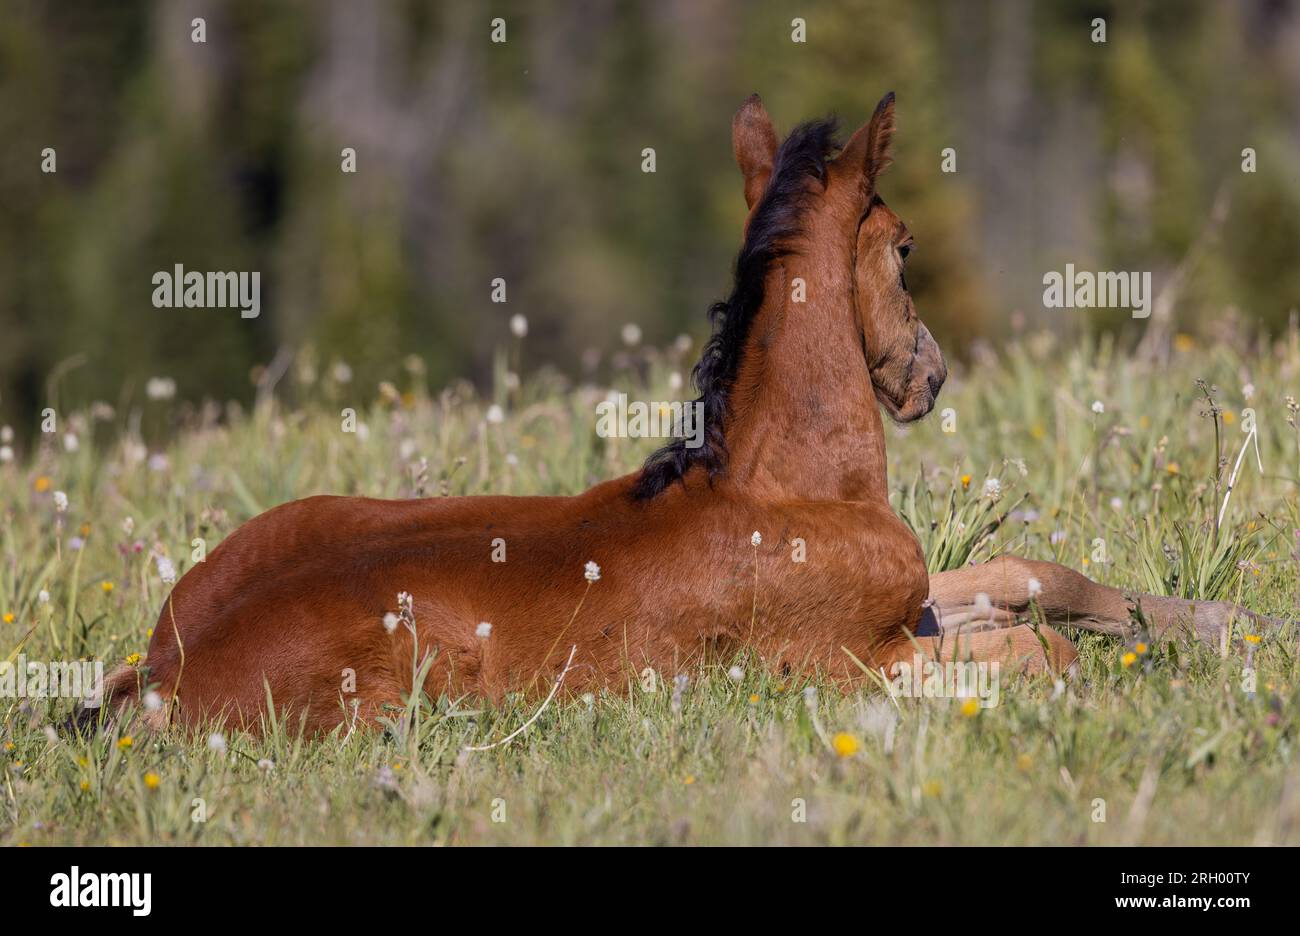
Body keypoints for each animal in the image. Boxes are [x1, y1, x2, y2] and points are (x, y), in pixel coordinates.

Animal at [98, 96, 1279, 738]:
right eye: (903, 247)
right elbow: (1043, 657)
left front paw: (1225, 627)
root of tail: (160, 671)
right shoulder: (849, 663)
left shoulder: (910, 615)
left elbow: (1034, 577)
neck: (789, 489)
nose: (927, 377)